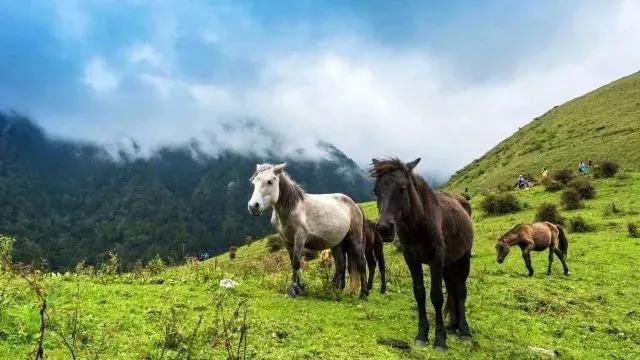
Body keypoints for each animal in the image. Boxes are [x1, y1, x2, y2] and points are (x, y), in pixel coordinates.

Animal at [368, 157, 472, 348]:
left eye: (402, 188)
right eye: (375, 190)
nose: (385, 229)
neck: (419, 225)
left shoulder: (436, 260)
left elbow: (436, 296)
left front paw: (440, 340)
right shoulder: (412, 259)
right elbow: (419, 293)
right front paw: (422, 335)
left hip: (463, 258)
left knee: (461, 290)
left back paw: (464, 331)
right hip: (449, 264)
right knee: (452, 288)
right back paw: (452, 325)